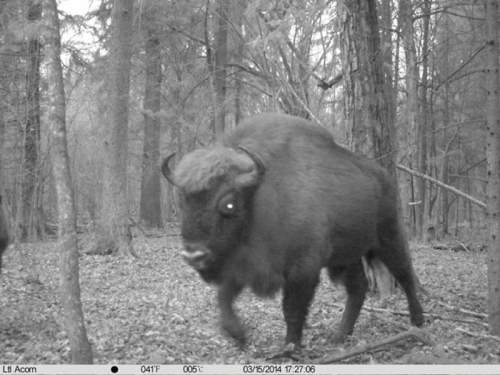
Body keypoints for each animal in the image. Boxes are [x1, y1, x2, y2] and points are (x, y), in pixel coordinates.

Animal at [162, 113, 424, 348]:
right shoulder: (241, 266)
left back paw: (417, 321)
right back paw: (339, 336)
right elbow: (224, 298)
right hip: (347, 256)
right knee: (358, 289)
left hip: (388, 238)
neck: (257, 195)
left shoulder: (303, 270)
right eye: (182, 201)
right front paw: (239, 335)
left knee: (404, 273)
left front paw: (290, 347)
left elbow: (292, 310)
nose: (194, 255)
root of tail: (385, 177)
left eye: (228, 204)